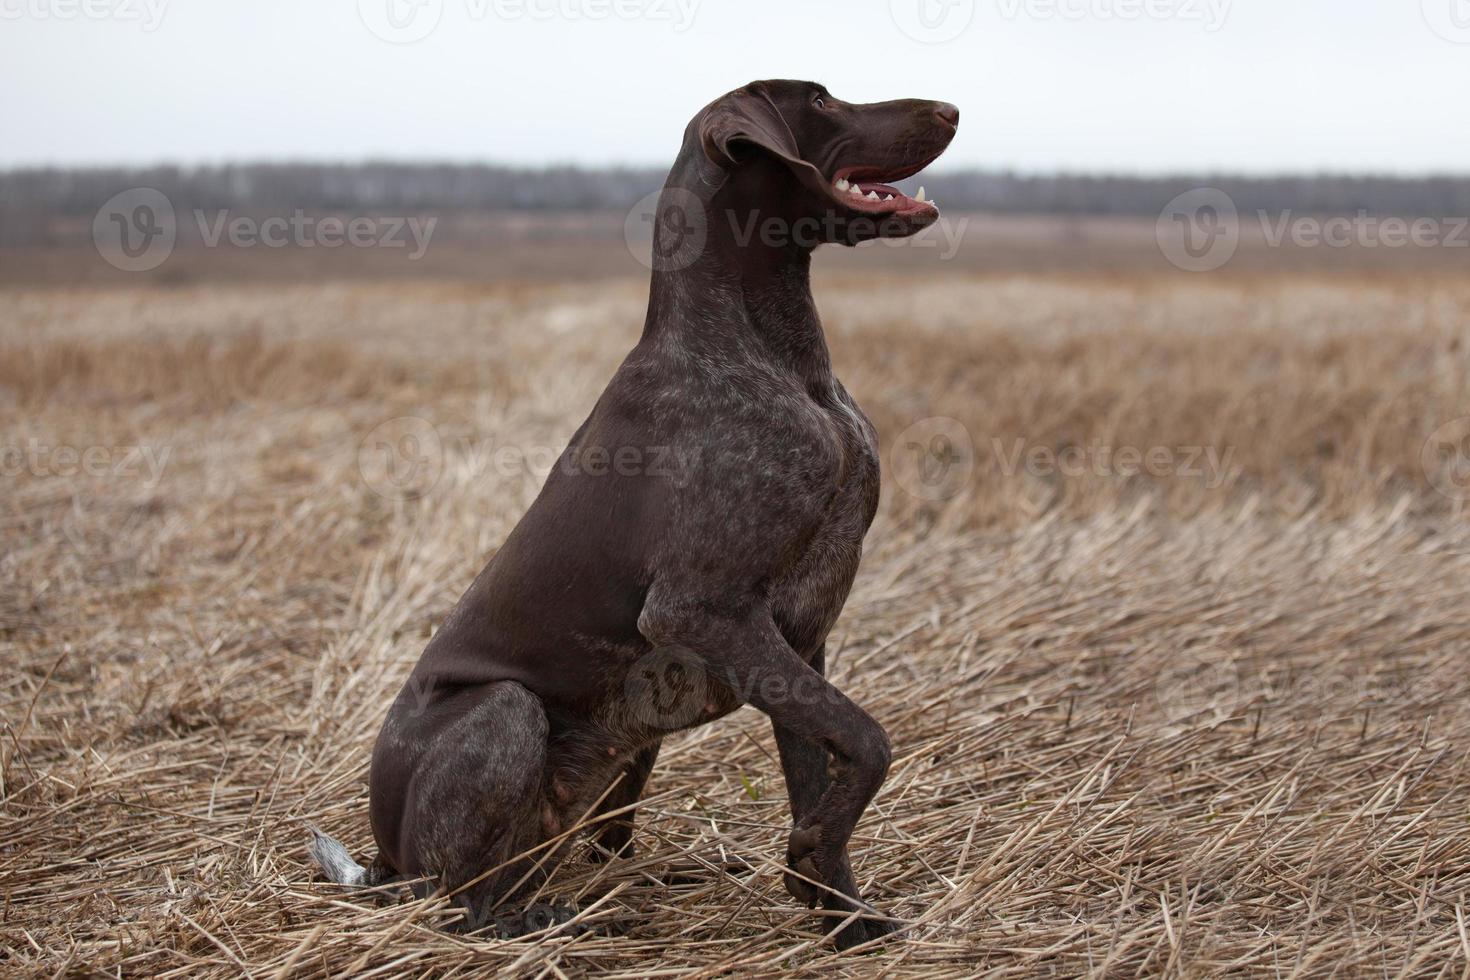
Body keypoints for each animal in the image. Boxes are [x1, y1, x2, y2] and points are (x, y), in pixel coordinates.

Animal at [310, 78, 958, 952]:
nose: (951, 111)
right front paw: (815, 860)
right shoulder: (703, 610)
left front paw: (842, 916)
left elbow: (821, 764)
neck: (770, 355)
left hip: (627, 742)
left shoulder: (801, 635)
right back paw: (543, 920)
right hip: (506, 712)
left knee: (594, 843)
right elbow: (869, 740)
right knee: (464, 900)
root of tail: (384, 859)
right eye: (822, 100)